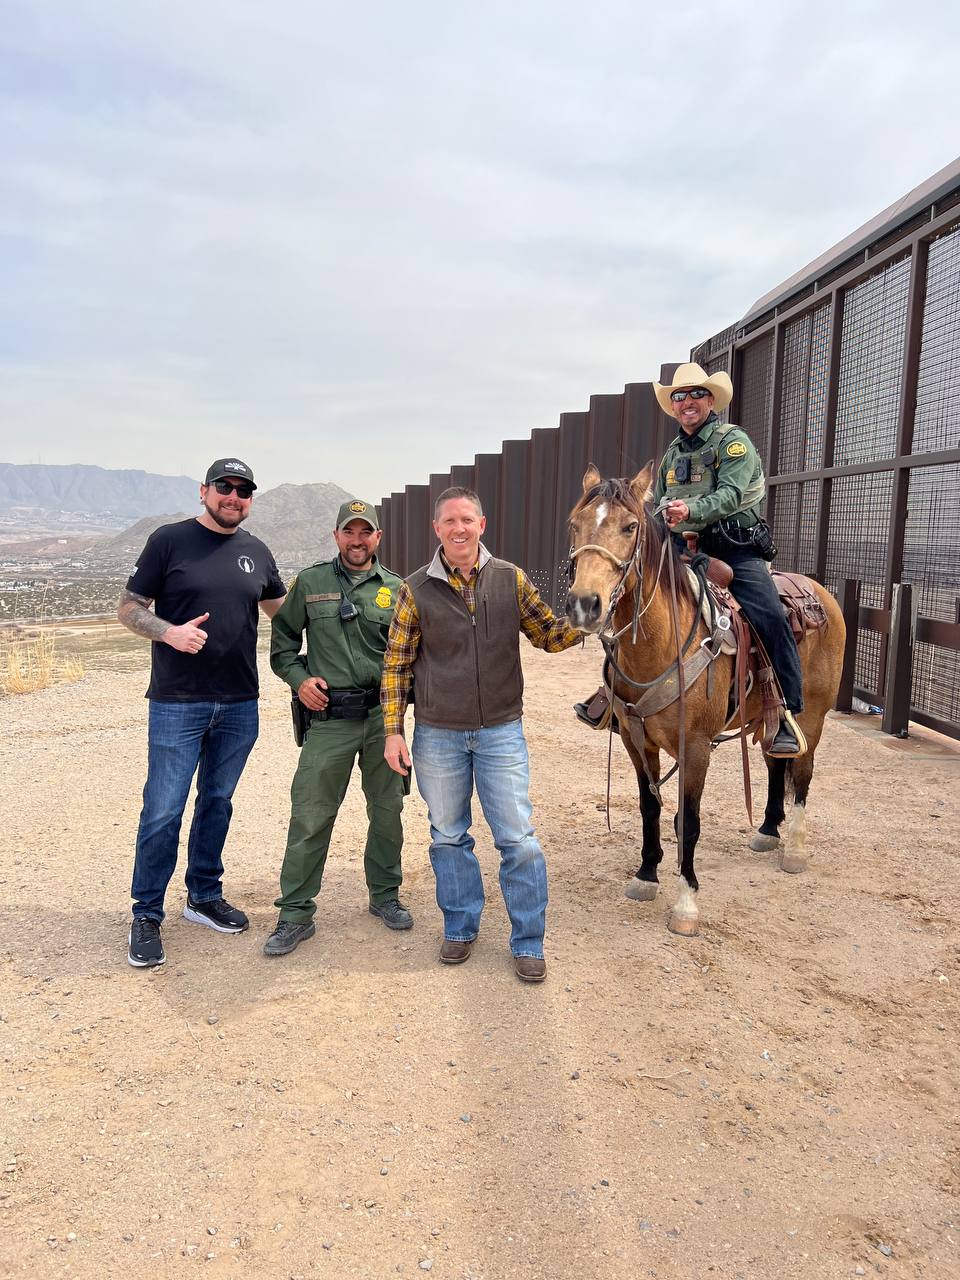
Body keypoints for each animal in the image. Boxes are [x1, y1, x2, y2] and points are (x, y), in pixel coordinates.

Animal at [568, 465, 844, 936]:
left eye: (630, 527)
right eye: (575, 524)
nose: (584, 604)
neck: (663, 645)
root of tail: (819, 592)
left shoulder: (695, 748)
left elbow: (688, 821)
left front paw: (686, 904)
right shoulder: (636, 742)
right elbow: (649, 808)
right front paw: (646, 875)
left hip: (813, 716)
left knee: (803, 775)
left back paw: (793, 849)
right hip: (770, 719)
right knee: (776, 763)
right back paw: (767, 829)